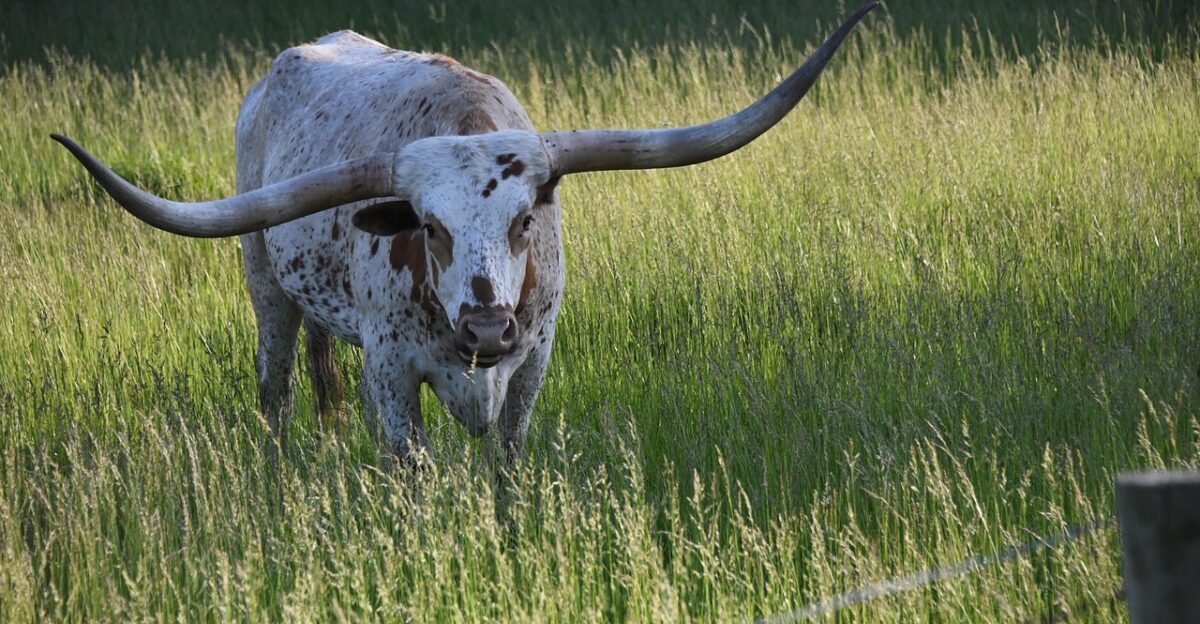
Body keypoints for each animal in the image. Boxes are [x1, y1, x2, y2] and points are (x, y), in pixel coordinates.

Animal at [53, 3, 876, 466]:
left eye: (524, 220)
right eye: (429, 226)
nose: (485, 326)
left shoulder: (534, 359)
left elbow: (507, 463)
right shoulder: (390, 373)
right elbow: (409, 471)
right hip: (264, 284)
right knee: (276, 391)